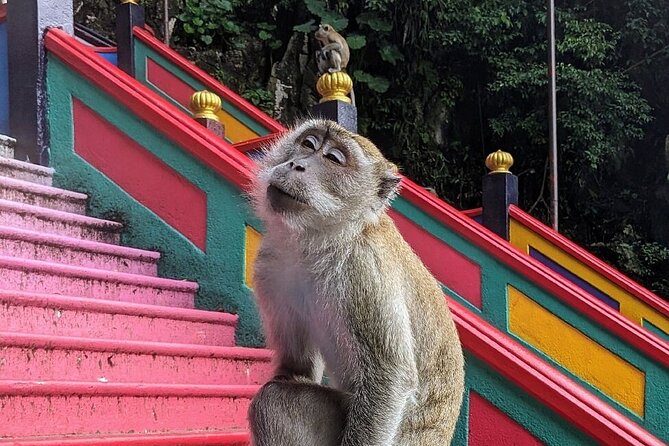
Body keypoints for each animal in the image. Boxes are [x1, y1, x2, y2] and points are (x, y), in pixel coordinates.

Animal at [248, 118, 465, 446]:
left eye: (333, 159)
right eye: (308, 144)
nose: (297, 164)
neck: (320, 242)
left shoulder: (364, 270)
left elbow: (388, 379)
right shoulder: (270, 268)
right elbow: (298, 367)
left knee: (273, 401)